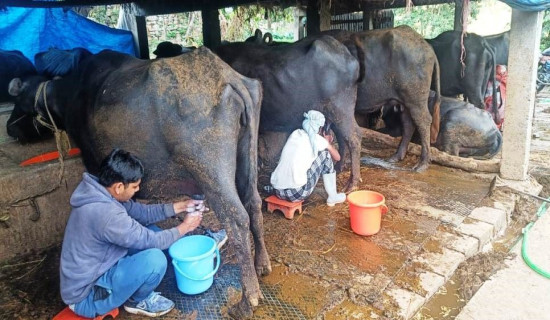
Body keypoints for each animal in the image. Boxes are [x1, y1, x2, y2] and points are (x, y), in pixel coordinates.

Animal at [8, 48, 274, 318]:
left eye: (20, 103)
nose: (10, 129)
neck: (72, 94)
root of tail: (227, 76)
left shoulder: (95, 164)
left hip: (210, 169)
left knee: (236, 219)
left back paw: (247, 300)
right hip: (247, 157)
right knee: (253, 203)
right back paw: (262, 264)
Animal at [217, 34, 366, 191]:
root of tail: (346, 53)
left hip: (341, 109)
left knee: (354, 137)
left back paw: (352, 183)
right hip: (333, 112)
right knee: (342, 138)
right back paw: (338, 167)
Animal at [326, 26, 442, 172]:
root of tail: (427, 46)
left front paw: (339, 165)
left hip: (416, 100)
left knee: (424, 122)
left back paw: (422, 164)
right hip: (404, 102)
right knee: (408, 124)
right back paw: (397, 156)